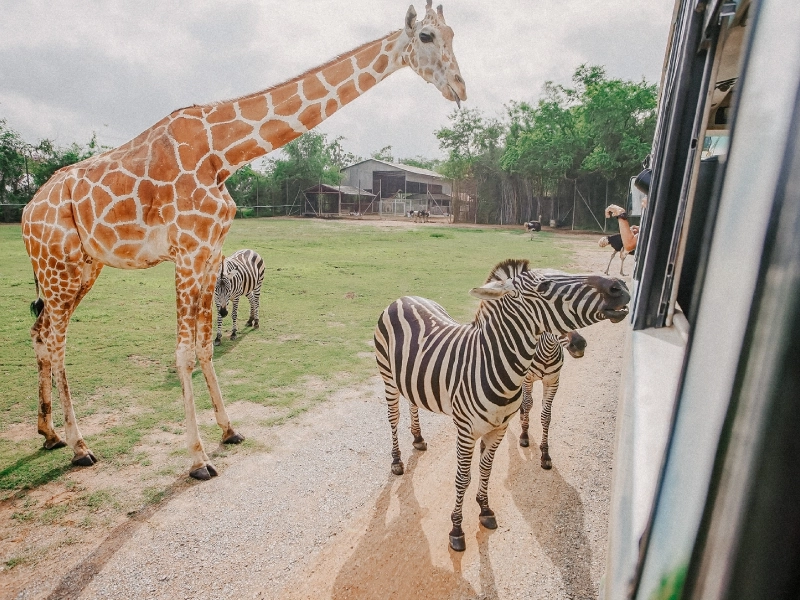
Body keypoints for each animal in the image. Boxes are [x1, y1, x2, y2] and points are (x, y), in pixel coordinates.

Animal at [21, 0, 466, 478]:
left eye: (453, 34)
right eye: (426, 36)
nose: (460, 88)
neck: (222, 152)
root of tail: (28, 213)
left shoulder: (208, 252)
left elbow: (204, 345)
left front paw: (229, 430)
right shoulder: (187, 251)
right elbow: (184, 351)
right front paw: (198, 459)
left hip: (81, 269)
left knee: (39, 331)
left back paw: (50, 434)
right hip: (59, 268)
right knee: (56, 341)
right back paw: (80, 446)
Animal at [372, 260, 628, 552]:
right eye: (543, 286)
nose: (620, 286)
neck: (492, 364)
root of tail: (404, 298)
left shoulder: (499, 428)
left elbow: (486, 469)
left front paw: (484, 510)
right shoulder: (466, 431)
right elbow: (462, 478)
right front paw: (456, 529)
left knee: (413, 403)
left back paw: (417, 438)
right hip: (388, 377)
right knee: (393, 417)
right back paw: (397, 460)